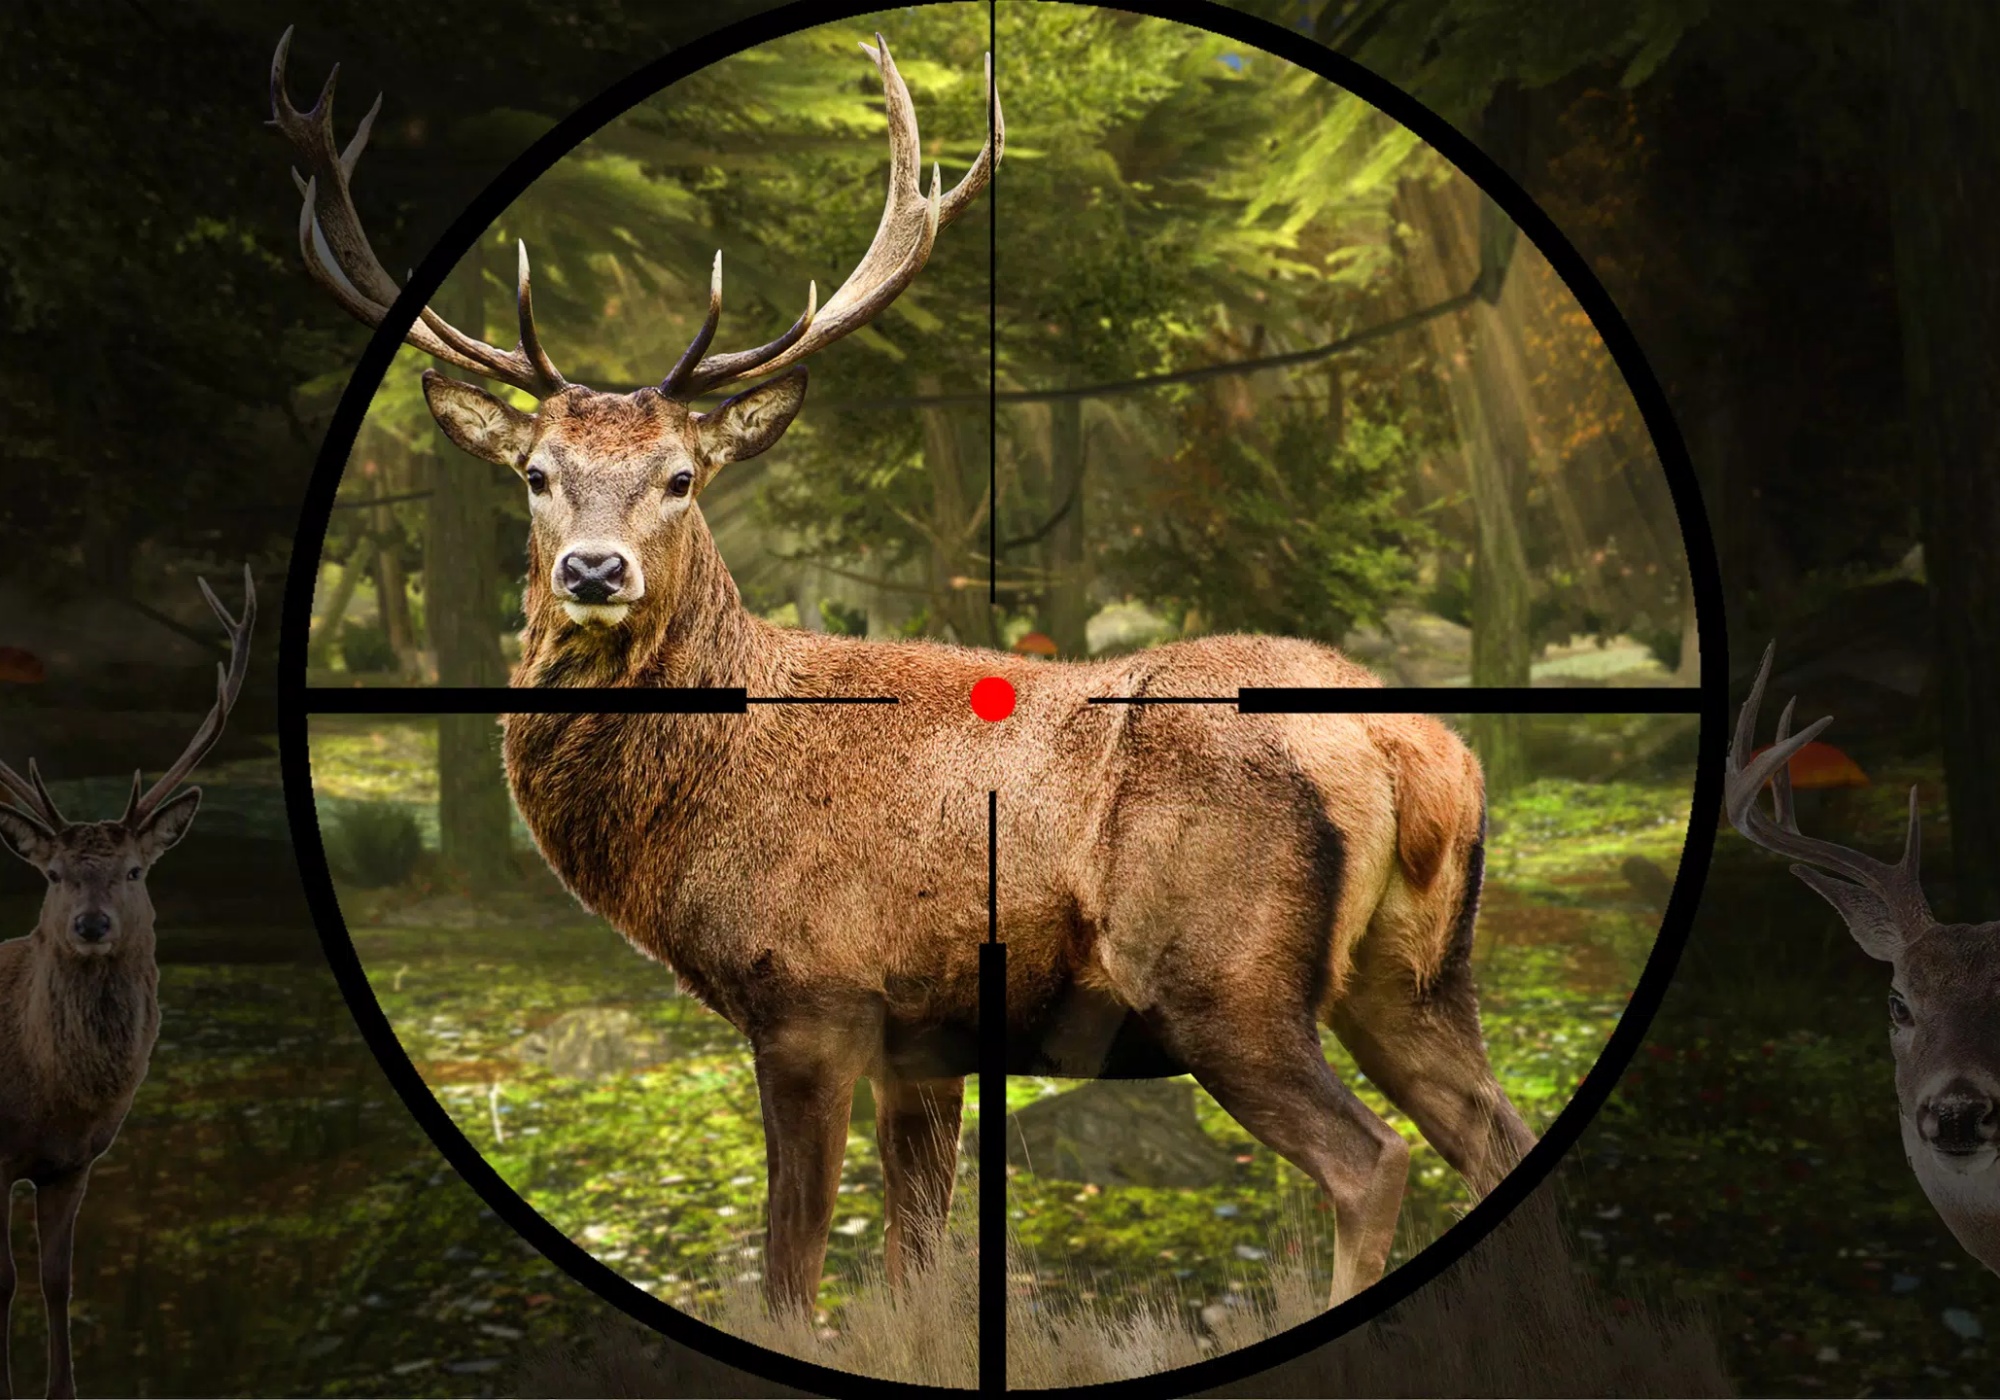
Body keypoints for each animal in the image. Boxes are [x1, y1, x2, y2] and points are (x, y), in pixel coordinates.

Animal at [0, 570, 254, 1400]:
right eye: (52, 874)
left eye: (137, 870)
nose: (90, 924)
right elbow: (4, 1280)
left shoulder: (74, 1161)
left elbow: (56, 1278)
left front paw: (63, 1390)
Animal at [271, 29, 1535, 1316]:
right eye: (534, 470)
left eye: (681, 474)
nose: (591, 567)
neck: (692, 812)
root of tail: (1411, 746)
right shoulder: (926, 1037)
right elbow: (918, 1265)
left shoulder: (812, 993)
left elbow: (792, 1261)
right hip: (1419, 974)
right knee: (1493, 1132)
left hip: (1222, 978)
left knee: (1370, 1160)